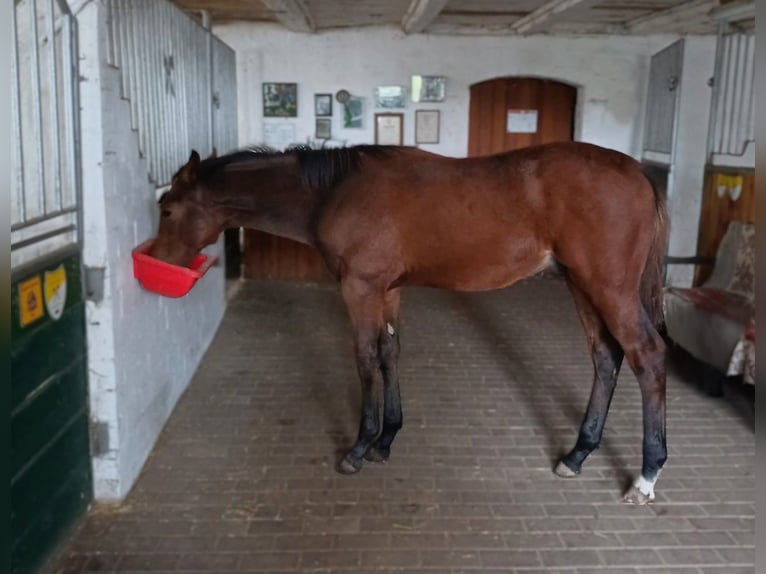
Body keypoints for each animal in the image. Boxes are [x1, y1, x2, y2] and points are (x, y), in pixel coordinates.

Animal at [152, 142, 669, 505]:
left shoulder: (359, 288)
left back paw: (646, 476)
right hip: (581, 285)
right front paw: (387, 438)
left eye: (168, 210)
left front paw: (359, 448)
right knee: (606, 357)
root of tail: (637, 172)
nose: (158, 260)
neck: (336, 192)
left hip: (608, 288)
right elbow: (389, 354)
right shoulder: (388, 290)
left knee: (647, 357)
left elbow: (364, 360)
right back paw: (577, 454)